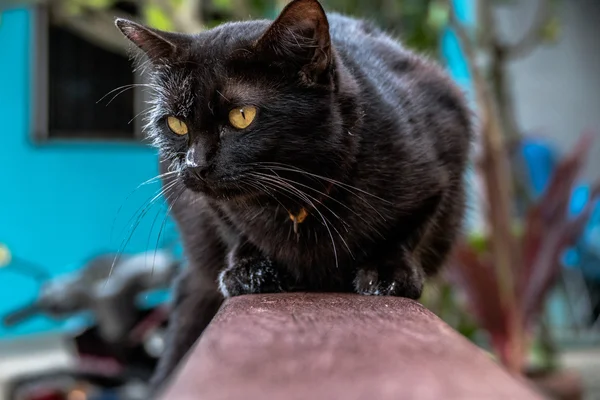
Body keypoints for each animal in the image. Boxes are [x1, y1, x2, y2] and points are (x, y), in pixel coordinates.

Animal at [116, 0, 474, 390]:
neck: (293, 202)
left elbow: (409, 230)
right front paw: (250, 269)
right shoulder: (205, 203)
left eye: (242, 116)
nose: (195, 166)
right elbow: (234, 227)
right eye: (176, 124)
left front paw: (387, 271)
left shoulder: (442, 160)